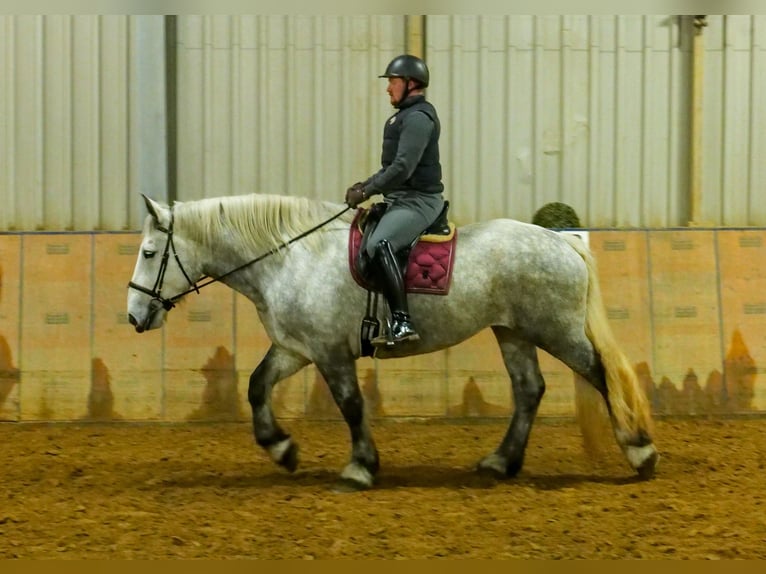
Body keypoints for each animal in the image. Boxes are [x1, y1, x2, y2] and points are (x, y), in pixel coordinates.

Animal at [126, 194, 660, 490]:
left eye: (150, 252)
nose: (133, 316)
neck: (291, 256)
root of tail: (561, 239)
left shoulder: (330, 352)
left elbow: (351, 405)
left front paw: (360, 468)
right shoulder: (298, 347)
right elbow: (257, 386)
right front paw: (282, 450)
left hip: (556, 330)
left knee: (601, 374)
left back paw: (641, 453)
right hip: (512, 332)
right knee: (529, 390)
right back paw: (500, 462)